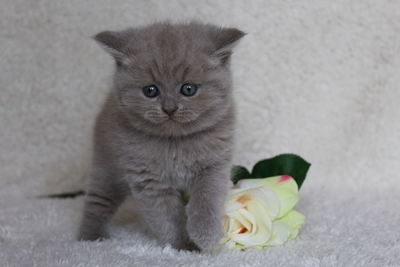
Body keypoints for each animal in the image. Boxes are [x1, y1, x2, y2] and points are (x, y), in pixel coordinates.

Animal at [77, 21, 244, 253]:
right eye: (150, 91)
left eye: (189, 89)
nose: (169, 108)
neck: (176, 143)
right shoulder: (149, 180)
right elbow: (165, 216)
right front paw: (182, 246)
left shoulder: (214, 165)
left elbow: (207, 198)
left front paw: (205, 235)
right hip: (106, 164)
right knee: (97, 201)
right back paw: (90, 238)